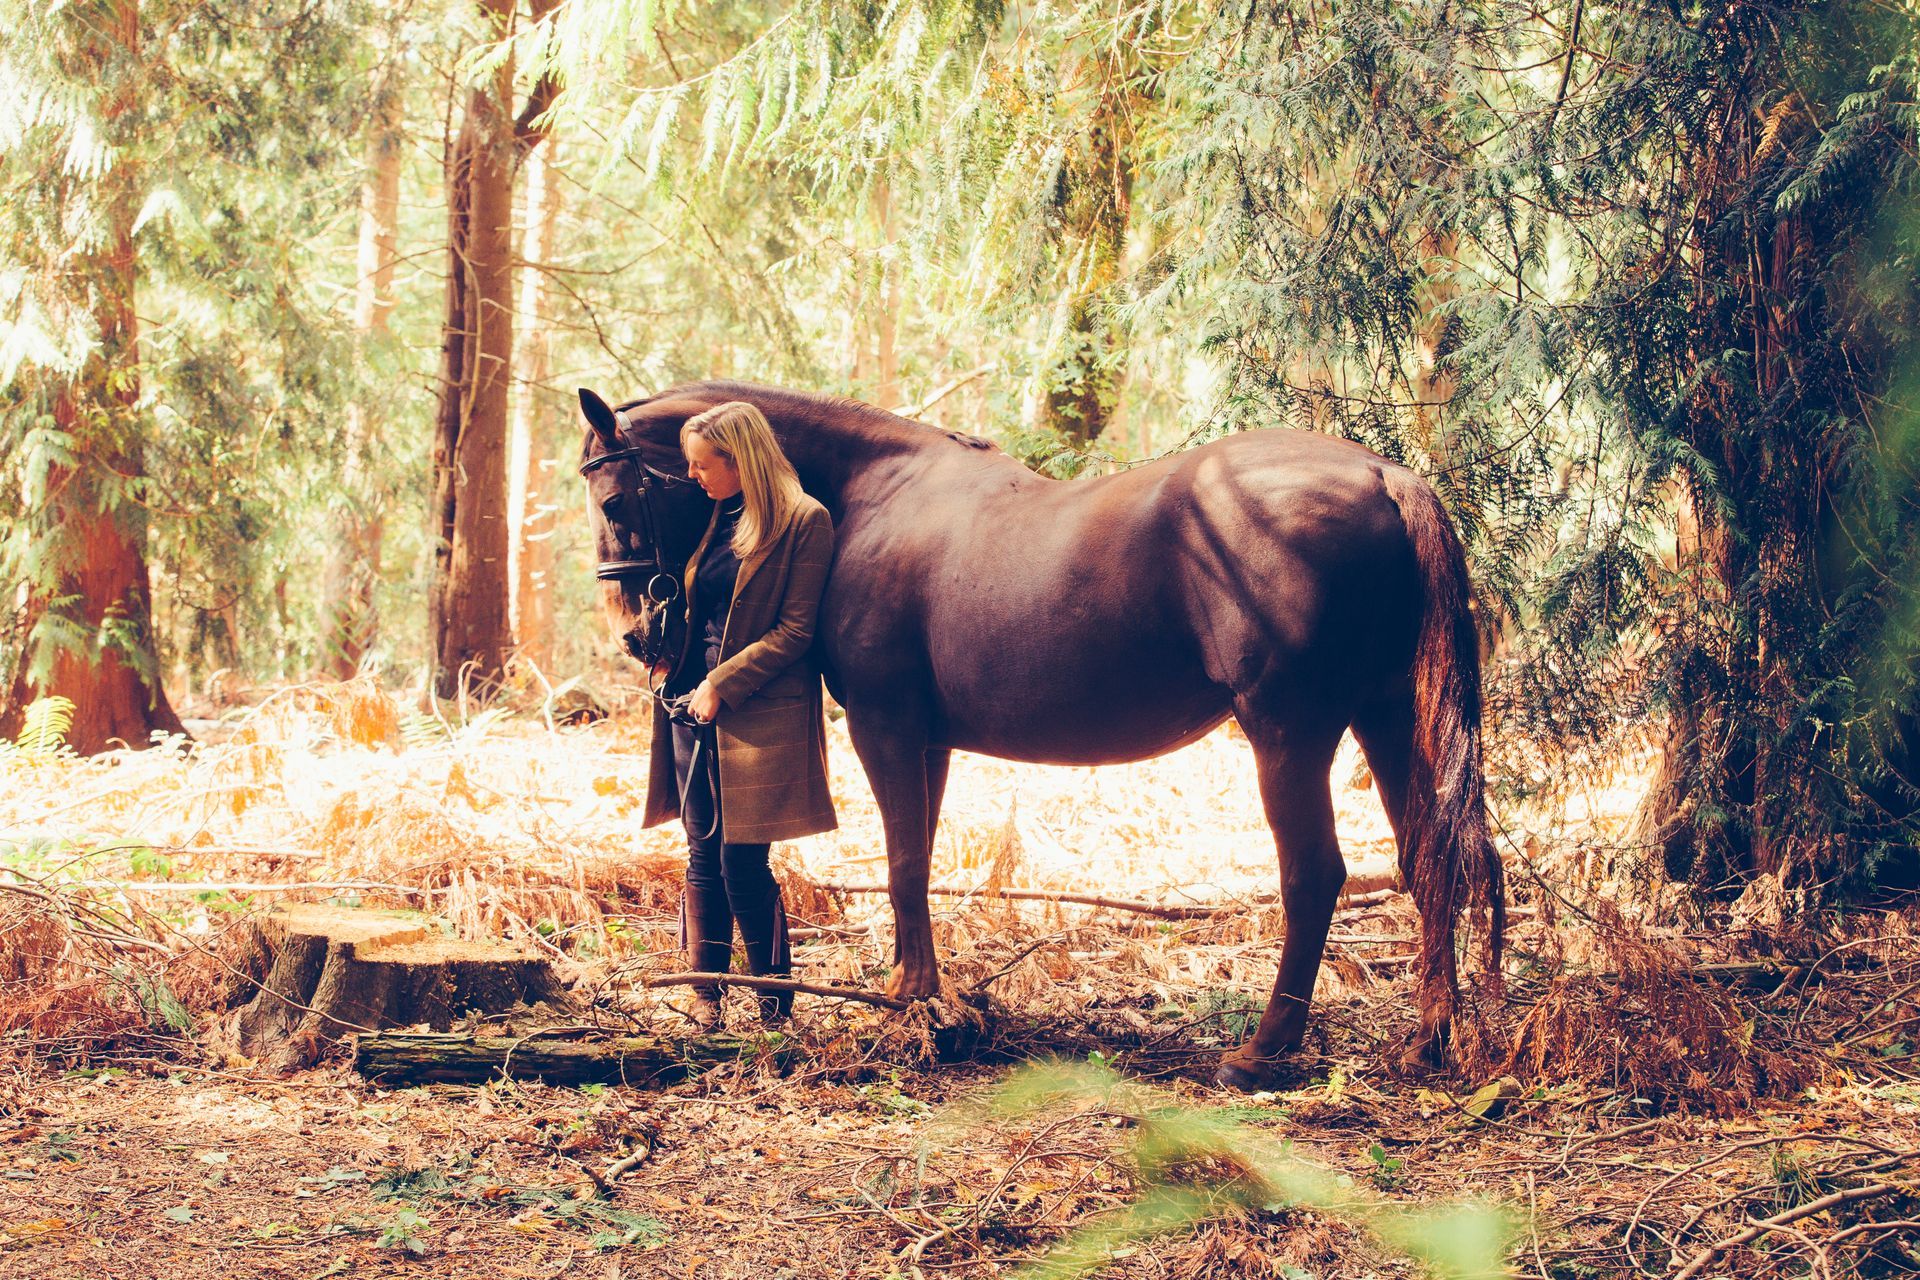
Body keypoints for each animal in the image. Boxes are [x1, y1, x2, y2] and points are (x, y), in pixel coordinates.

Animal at [577, 381, 1504, 1090]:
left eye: (616, 497)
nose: (638, 636)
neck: (872, 496)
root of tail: (1384, 475)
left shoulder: (885, 722)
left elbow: (902, 862)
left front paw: (916, 1005)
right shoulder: (929, 740)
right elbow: (916, 862)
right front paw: (920, 994)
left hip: (1288, 728)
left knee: (1315, 876)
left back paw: (1262, 1052)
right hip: (1385, 715)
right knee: (1429, 860)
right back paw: (1428, 1041)